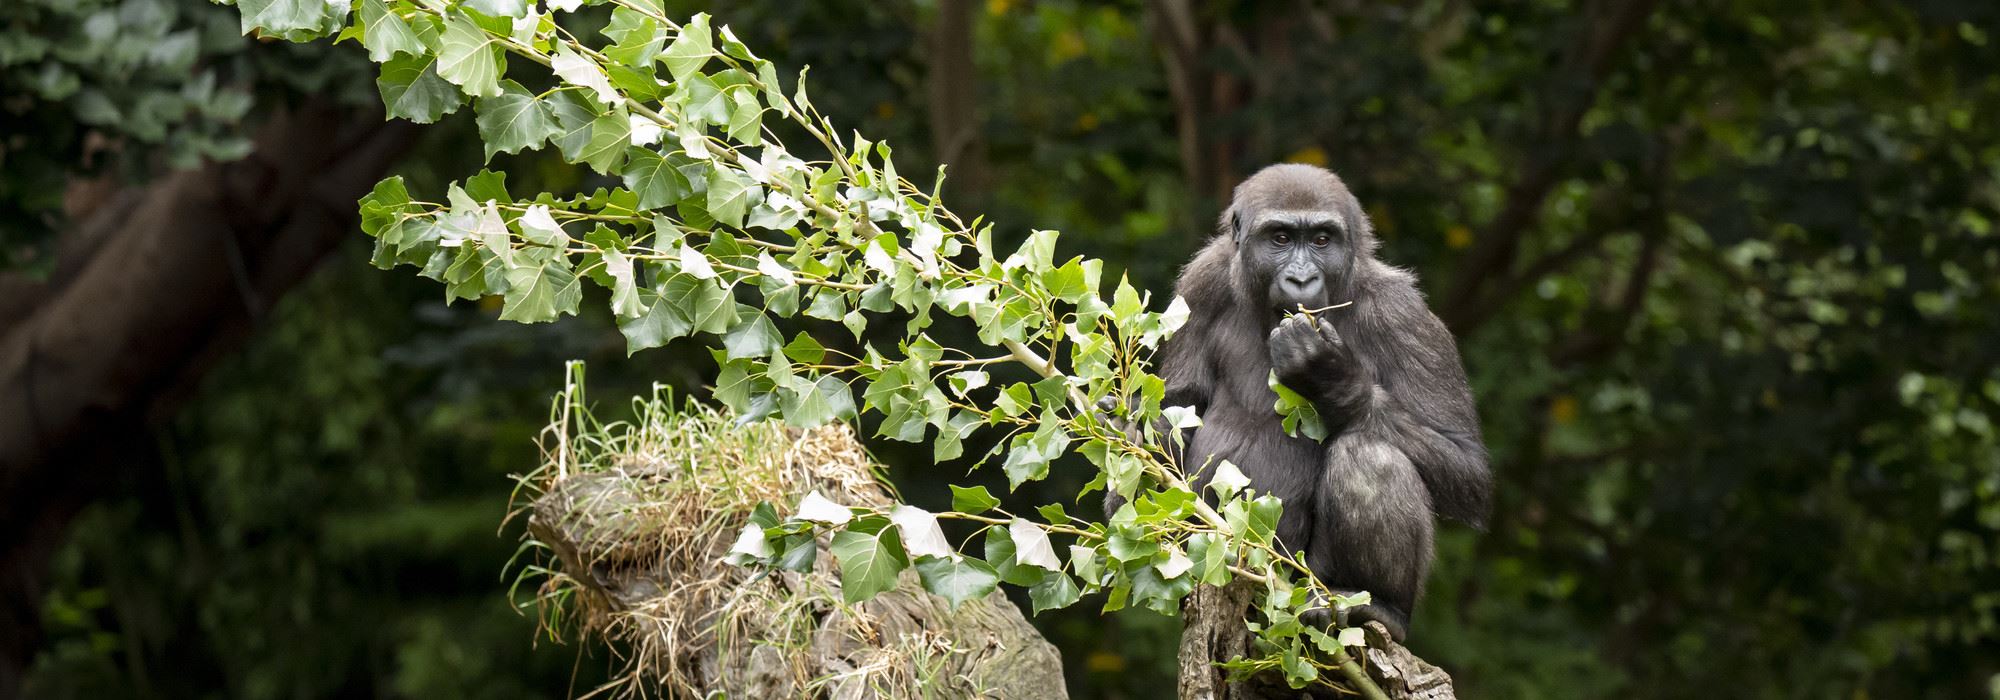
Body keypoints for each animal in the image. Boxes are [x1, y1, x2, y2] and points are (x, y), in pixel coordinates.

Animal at [1151, 163, 1490, 641]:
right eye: (1280, 238)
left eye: (1322, 240)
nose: (1301, 279)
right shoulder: (1202, 281)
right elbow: (1178, 407)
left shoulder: (1403, 314)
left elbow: (1465, 463)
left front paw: (1331, 379)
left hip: (1305, 586)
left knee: (1369, 458)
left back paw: (1382, 606)